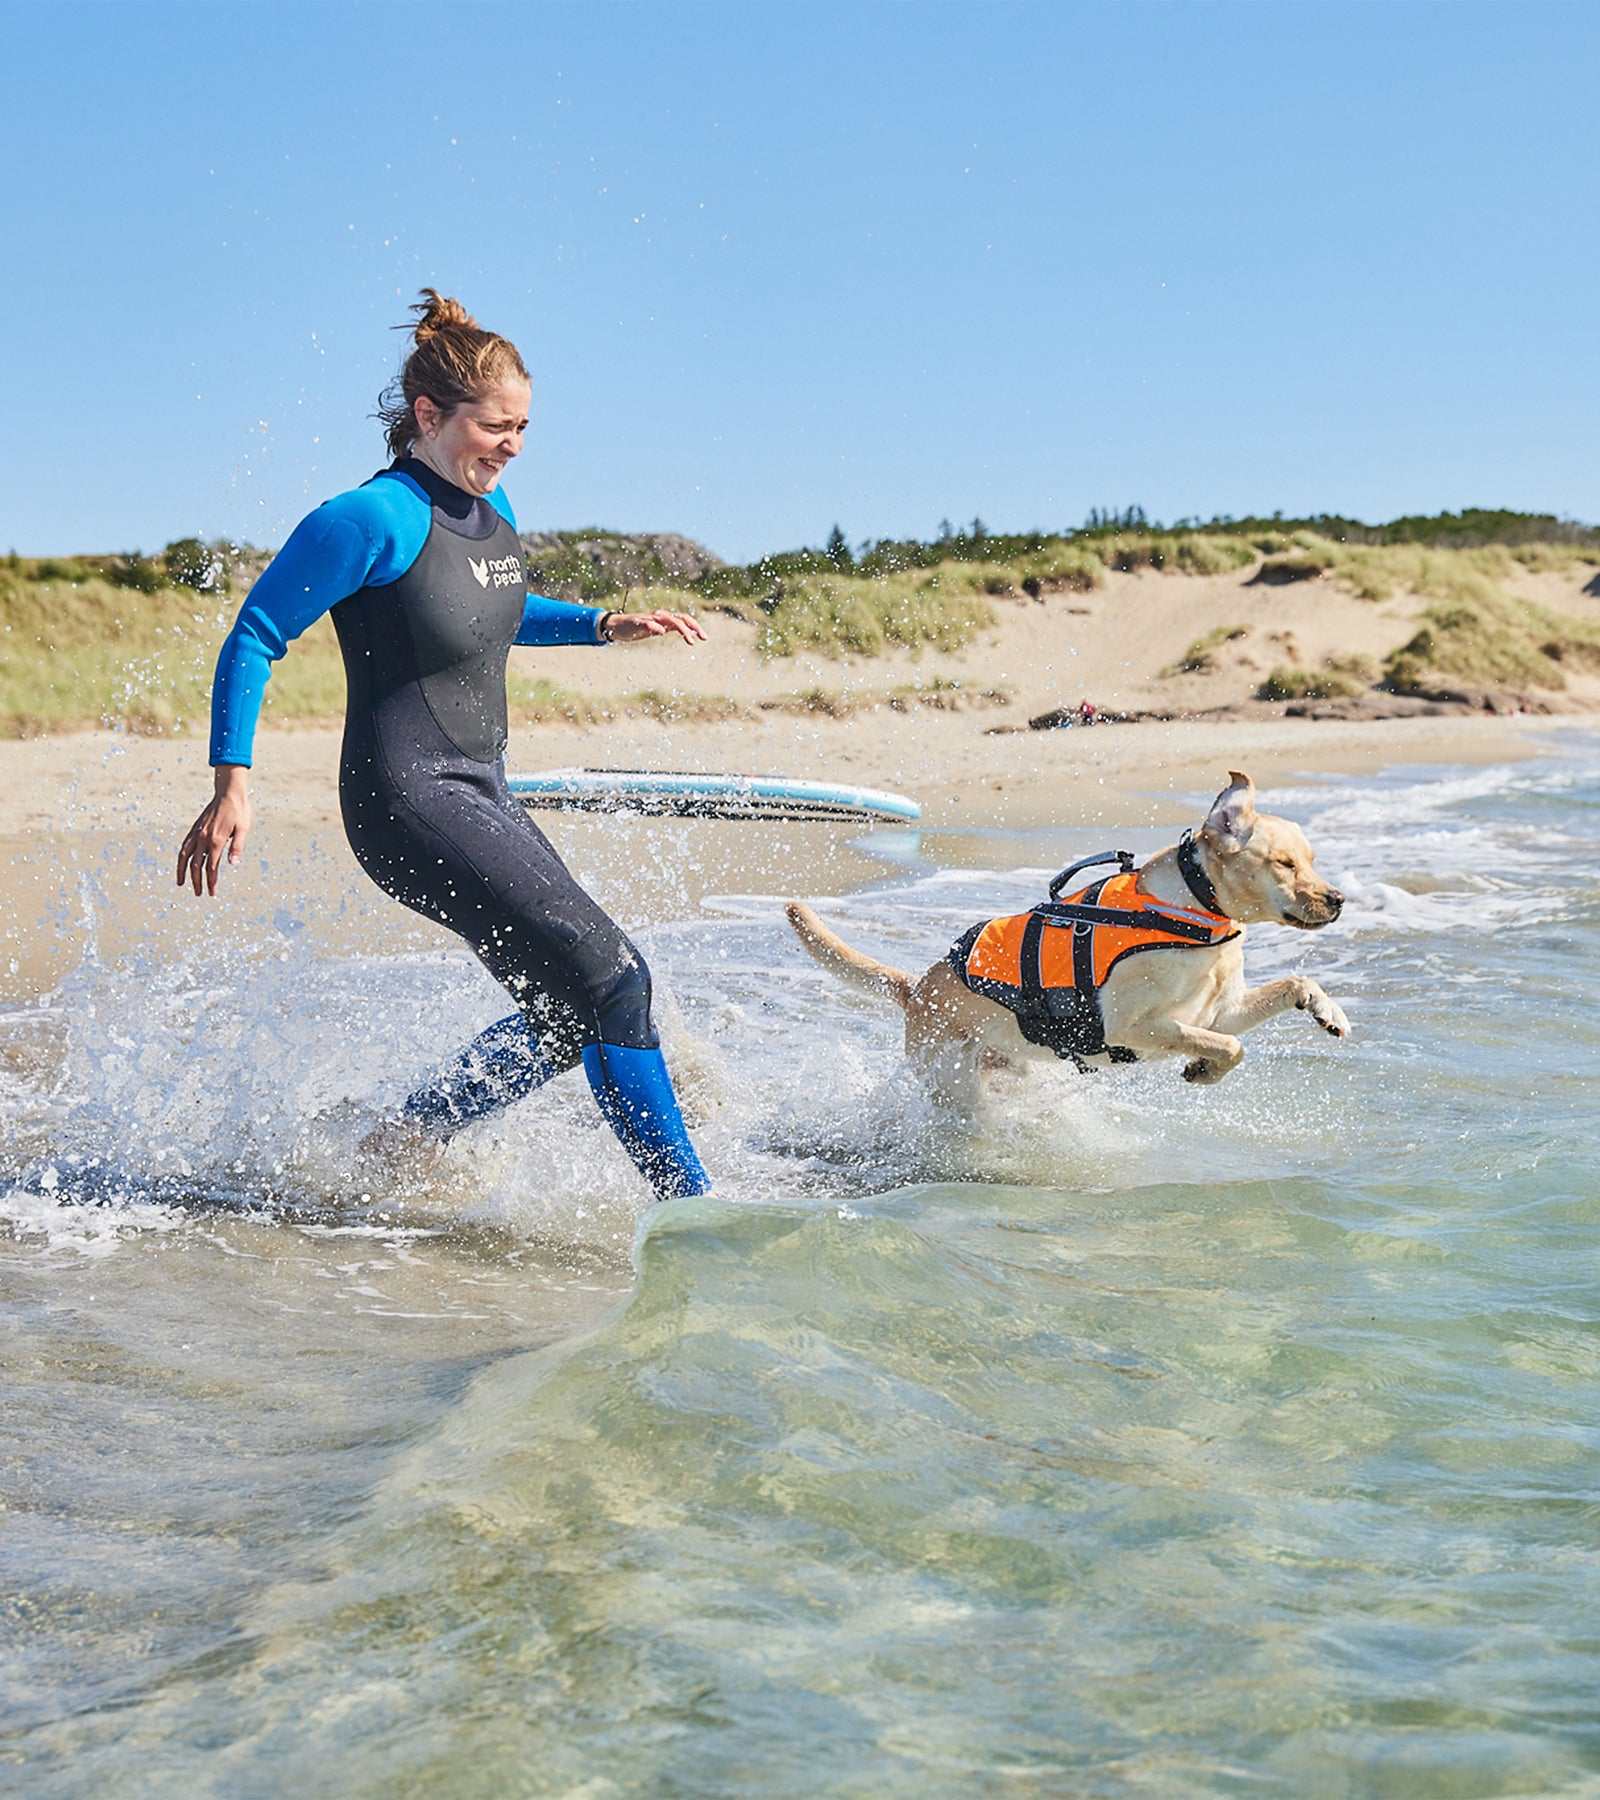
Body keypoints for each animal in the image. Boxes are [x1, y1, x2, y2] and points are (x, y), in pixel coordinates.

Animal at [788, 770, 1346, 1101]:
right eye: (1284, 863)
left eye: (1312, 859)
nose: (1338, 899)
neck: (1197, 916)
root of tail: (916, 988)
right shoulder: (1132, 1026)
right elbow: (1229, 1045)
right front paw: (1203, 1068)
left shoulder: (1217, 1010)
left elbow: (1290, 987)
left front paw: (1328, 1011)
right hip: (949, 1075)